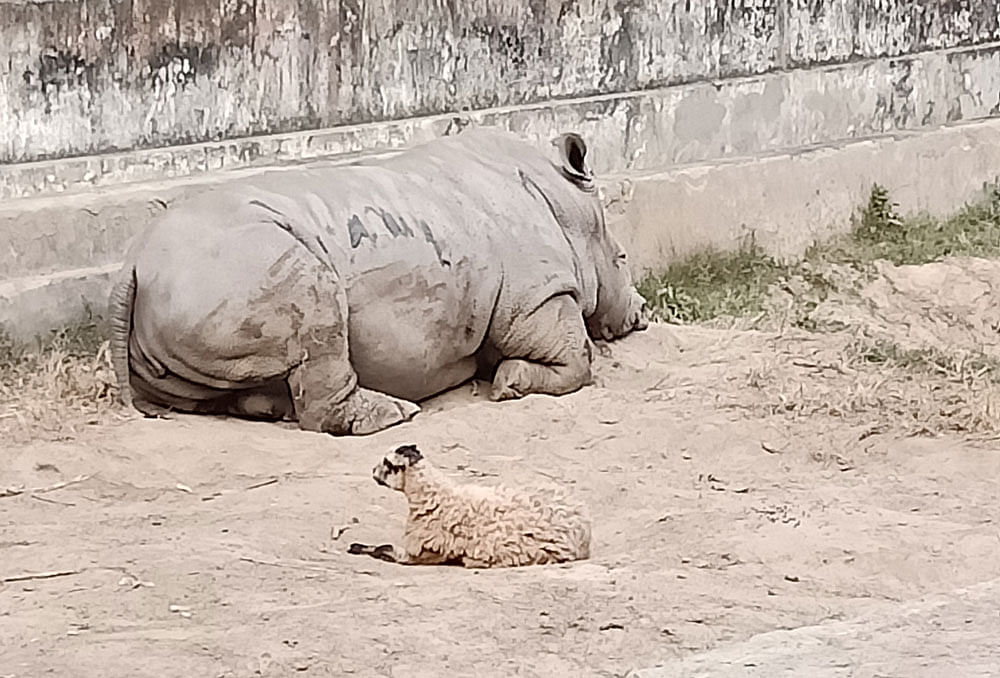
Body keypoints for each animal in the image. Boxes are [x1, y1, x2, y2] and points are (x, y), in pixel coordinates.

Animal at [348, 446, 588, 568]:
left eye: (387, 464)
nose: (372, 472)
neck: (440, 499)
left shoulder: (422, 553)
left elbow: (384, 548)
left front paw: (355, 547)